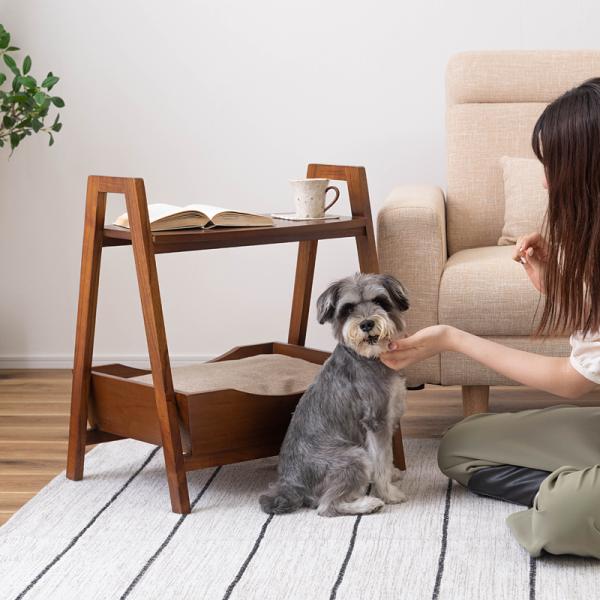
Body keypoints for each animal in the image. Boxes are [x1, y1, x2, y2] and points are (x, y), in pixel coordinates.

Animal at [260, 272, 410, 516]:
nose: (366, 323)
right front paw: (389, 493)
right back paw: (368, 504)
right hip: (353, 458)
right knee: (327, 506)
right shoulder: (376, 421)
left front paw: (393, 473)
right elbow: (380, 461)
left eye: (380, 301)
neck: (367, 358)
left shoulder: (388, 419)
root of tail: (291, 485)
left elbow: (386, 458)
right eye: (347, 309)